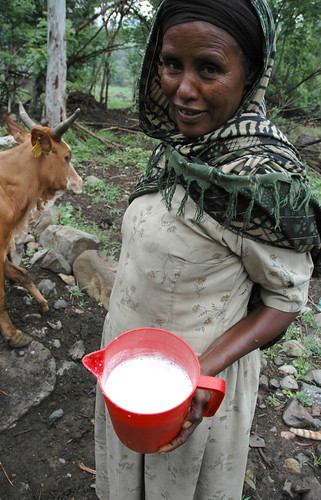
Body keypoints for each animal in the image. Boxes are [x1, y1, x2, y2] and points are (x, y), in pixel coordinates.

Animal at [0, 102, 82, 348]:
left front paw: (43, 304)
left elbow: (22, 274)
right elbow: (1, 296)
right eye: (67, 157)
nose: (80, 183)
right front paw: (13, 334)